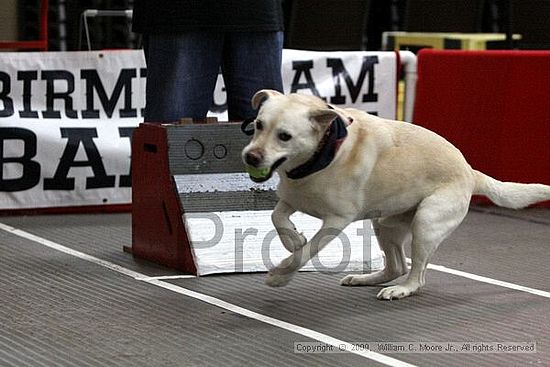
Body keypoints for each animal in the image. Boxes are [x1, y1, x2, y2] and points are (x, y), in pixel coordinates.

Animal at [244, 90, 550, 300]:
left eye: (284, 136)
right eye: (258, 125)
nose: (251, 156)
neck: (321, 154)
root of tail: (470, 171)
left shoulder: (336, 221)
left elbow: (305, 253)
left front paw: (279, 276)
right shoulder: (292, 198)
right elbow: (277, 217)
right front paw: (293, 238)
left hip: (426, 224)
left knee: (416, 275)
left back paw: (401, 290)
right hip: (385, 224)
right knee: (397, 266)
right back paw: (366, 279)